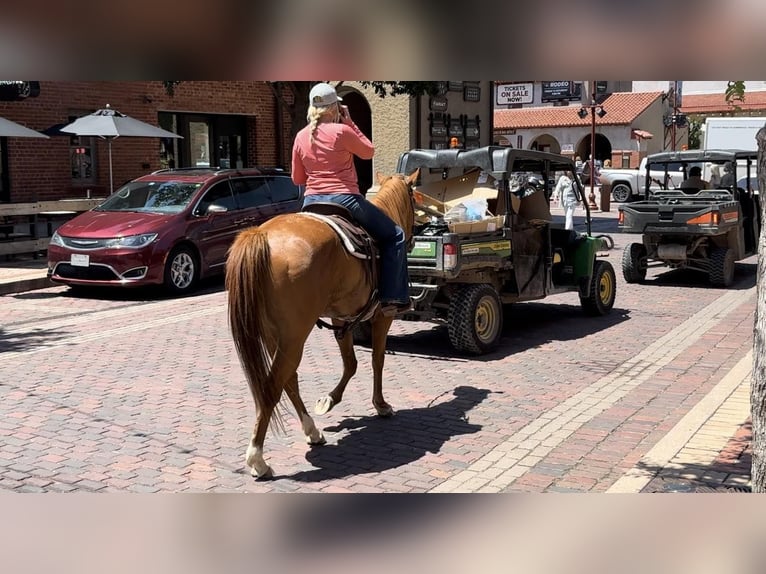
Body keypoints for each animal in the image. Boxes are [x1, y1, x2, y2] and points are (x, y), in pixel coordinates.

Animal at [225, 171, 420, 482]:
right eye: (414, 200)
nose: (415, 236)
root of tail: (262, 236)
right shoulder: (382, 317)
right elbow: (377, 360)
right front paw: (381, 405)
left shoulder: (342, 318)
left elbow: (351, 363)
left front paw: (329, 399)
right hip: (294, 336)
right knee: (272, 386)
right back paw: (258, 459)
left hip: (276, 336)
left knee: (288, 381)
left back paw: (312, 431)